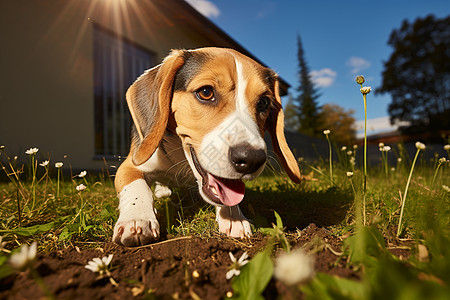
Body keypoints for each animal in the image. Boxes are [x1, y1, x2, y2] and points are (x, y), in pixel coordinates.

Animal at [113, 47, 302, 246]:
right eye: (205, 92)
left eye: (264, 103)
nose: (252, 159)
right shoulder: (129, 165)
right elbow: (136, 186)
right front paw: (137, 219)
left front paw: (234, 217)